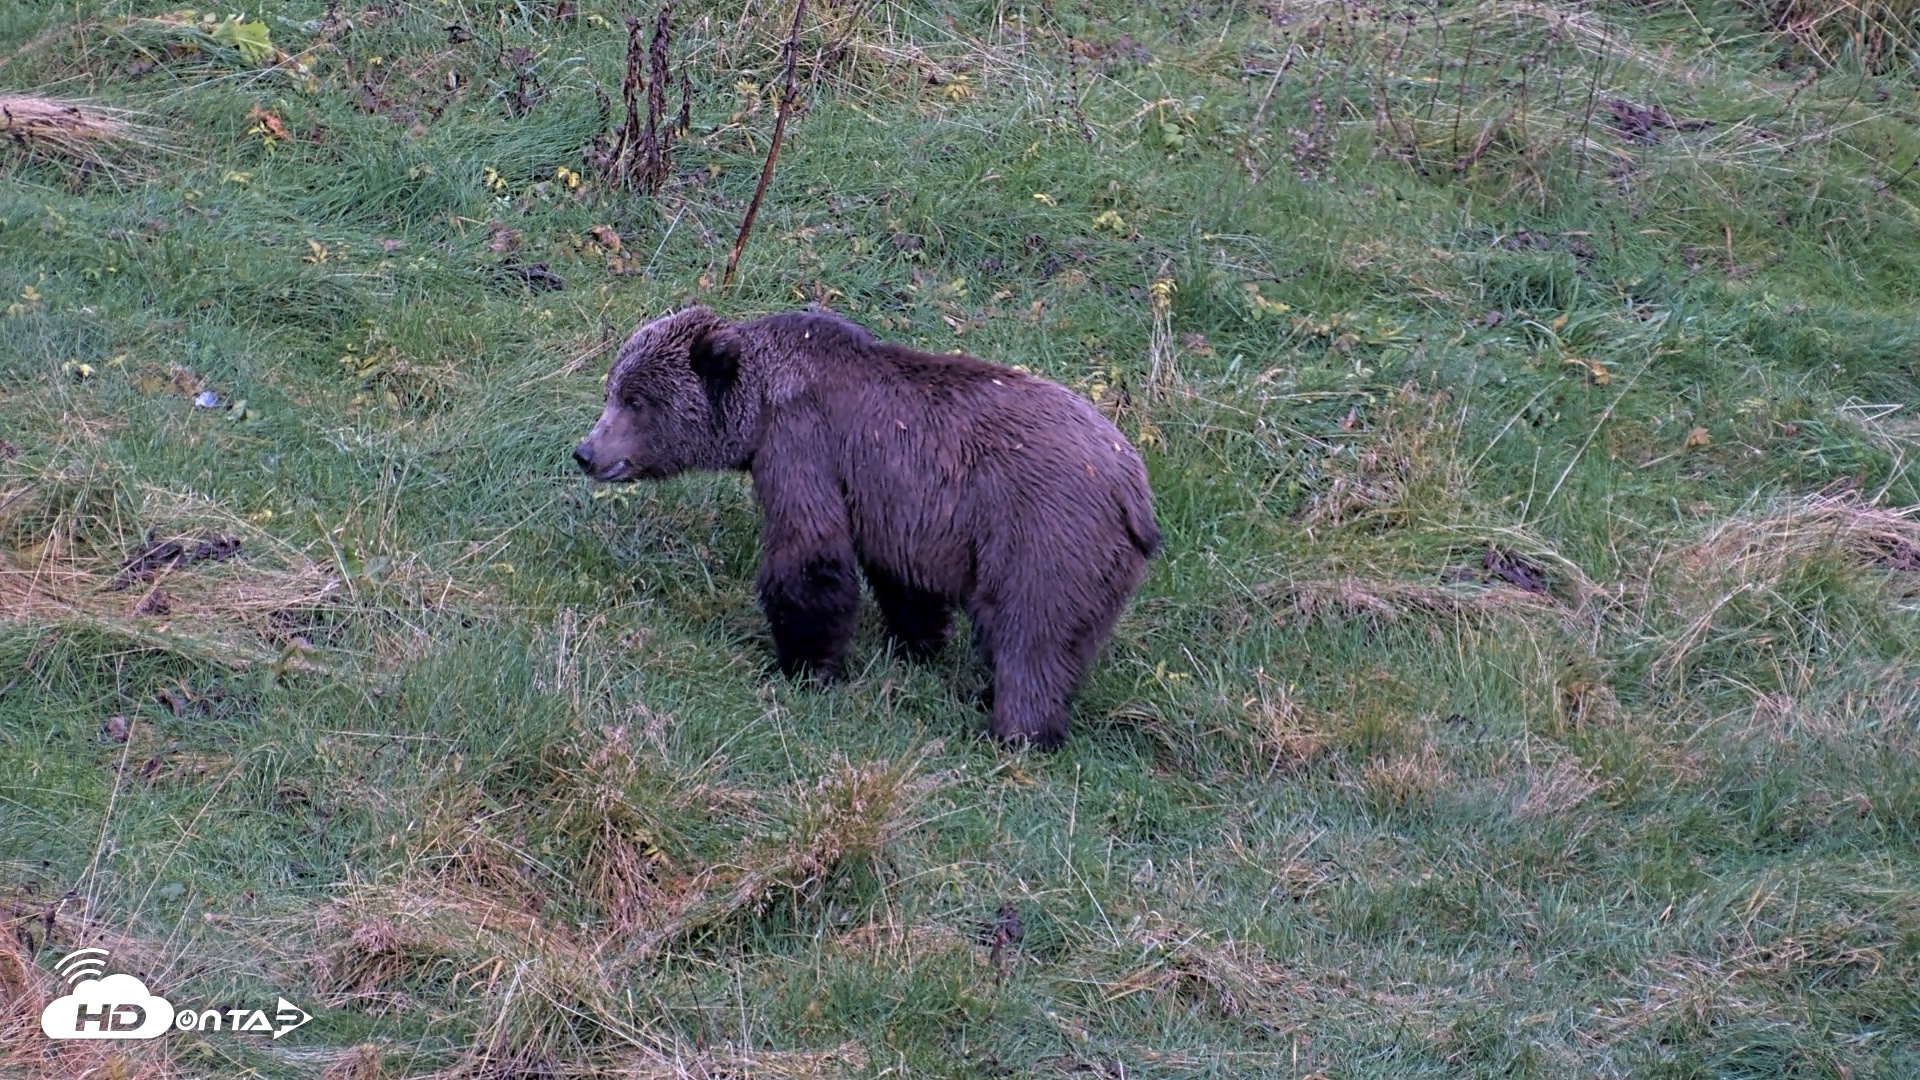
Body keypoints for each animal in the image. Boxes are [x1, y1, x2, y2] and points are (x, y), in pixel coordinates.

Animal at [573, 306, 1159, 749]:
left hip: (1045, 531)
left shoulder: (803, 443)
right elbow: (904, 579)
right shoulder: (896, 504)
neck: (759, 406)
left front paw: (804, 666)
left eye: (635, 400)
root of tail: (1133, 486)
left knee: (1030, 634)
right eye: (613, 389)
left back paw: (1017, 732)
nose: (586, 452)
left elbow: (809, 553)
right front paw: (916, 642)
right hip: (1100, 566)